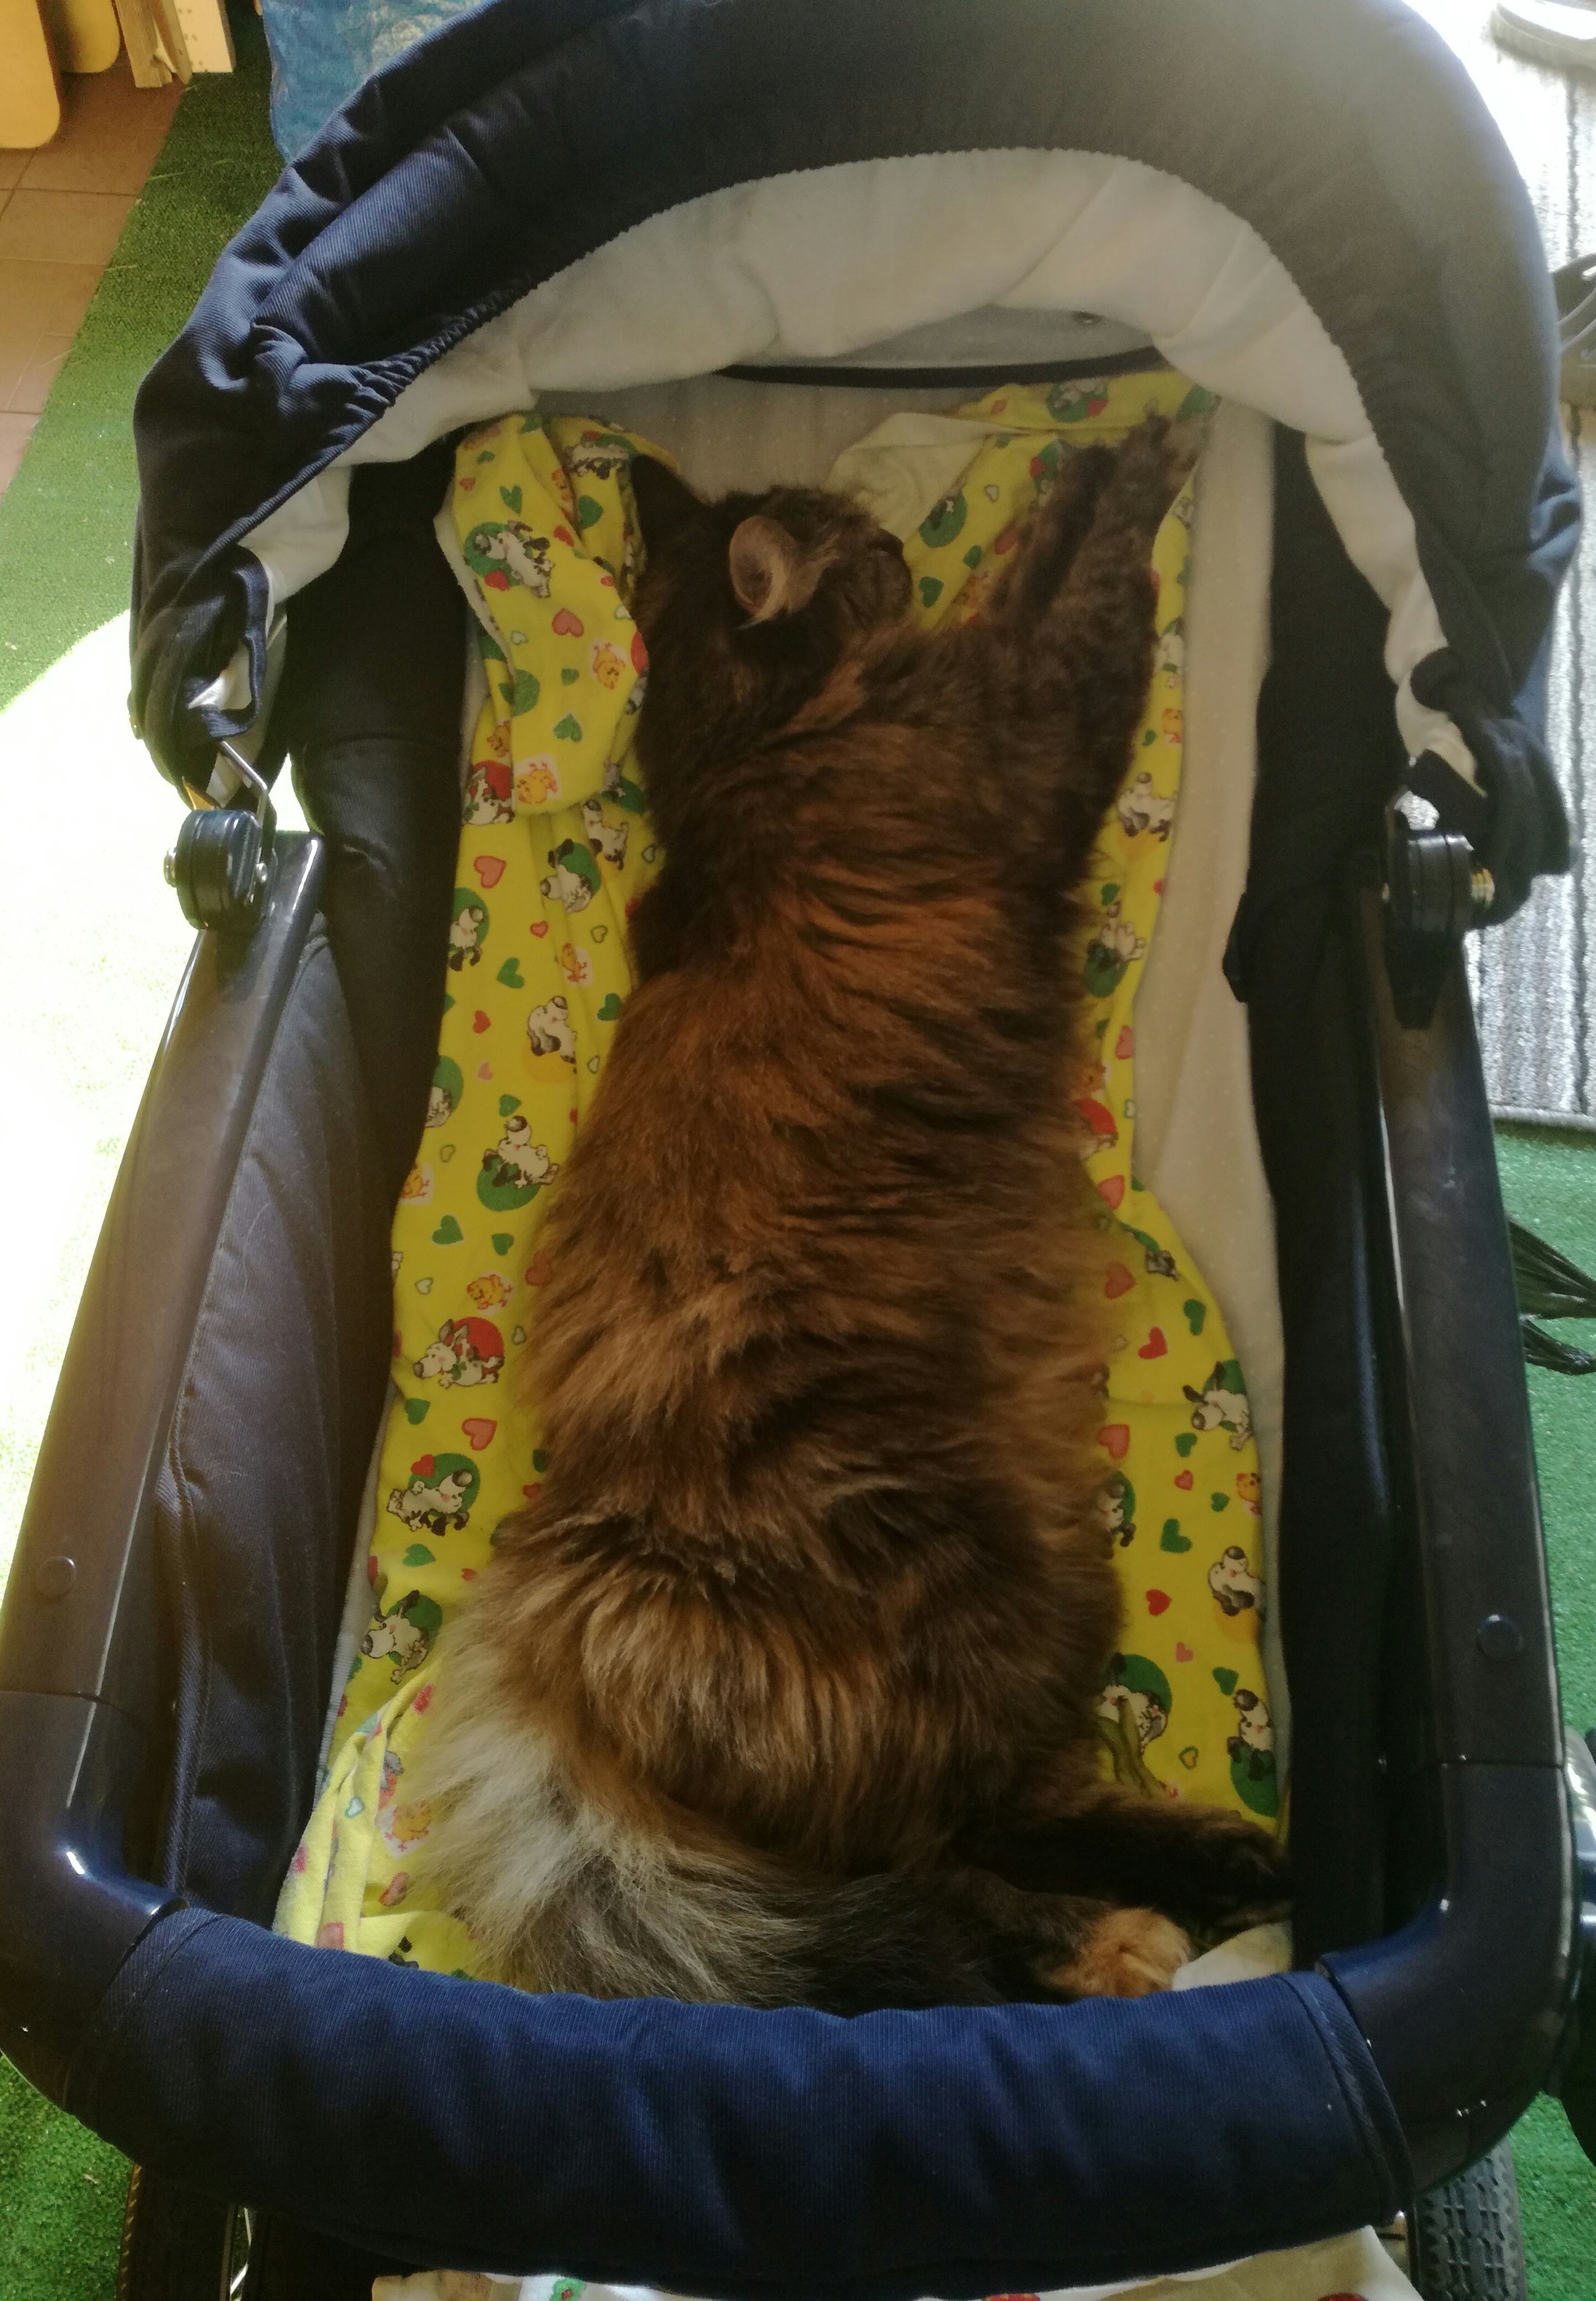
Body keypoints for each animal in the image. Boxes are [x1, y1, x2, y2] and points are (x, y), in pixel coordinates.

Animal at [410, 417, 1288, 2011]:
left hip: (1030, 1614)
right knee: (935, 1884)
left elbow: (1044, 565)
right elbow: (1082, 579)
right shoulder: (1035, 719)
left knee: (984, 1832)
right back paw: (1128, 1937)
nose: (887, 537)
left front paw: (1083, 455)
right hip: (973, 1602)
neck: (753, 744)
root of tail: (561, 1604)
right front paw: (1139, 446)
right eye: (866, 552)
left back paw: (1219, 1871)